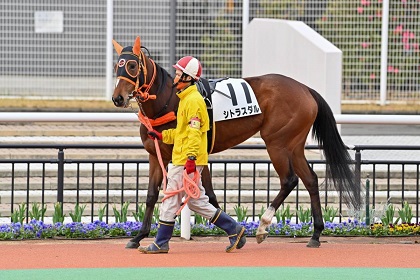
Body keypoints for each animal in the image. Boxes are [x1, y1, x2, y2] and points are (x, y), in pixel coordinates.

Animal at [111, 36, 360, 248]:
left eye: (131, 66)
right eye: (117, 66)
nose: (117, 98)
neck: (170, 100)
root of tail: (305, 88)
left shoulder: (189, 156)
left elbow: (204, 195)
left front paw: (235, 232)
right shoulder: (156, 155)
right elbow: (153, 195)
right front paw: (139, 236)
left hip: (277, 143)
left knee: (289, 180)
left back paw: (263, 226)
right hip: (294, 145)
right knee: (310, 179)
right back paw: (316, 234)